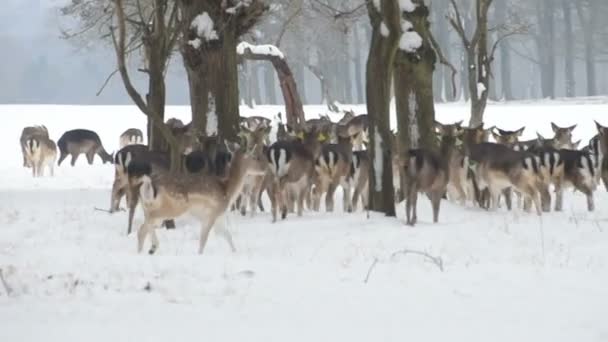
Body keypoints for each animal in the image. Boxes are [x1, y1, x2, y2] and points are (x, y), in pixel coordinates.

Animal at [127, 142, 268, 254]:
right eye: (255, 157)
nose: (265, 169)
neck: (227, 191)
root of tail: (150, 185)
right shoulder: (211, 214)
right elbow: (203, 240)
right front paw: (200, 254)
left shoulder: (218, 216)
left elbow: (227, 235)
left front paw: (235, 252)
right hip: (172, 208)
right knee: (146, 224)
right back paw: (153, 247)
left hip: (150, 207)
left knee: (142, 230)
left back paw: (145, 251)